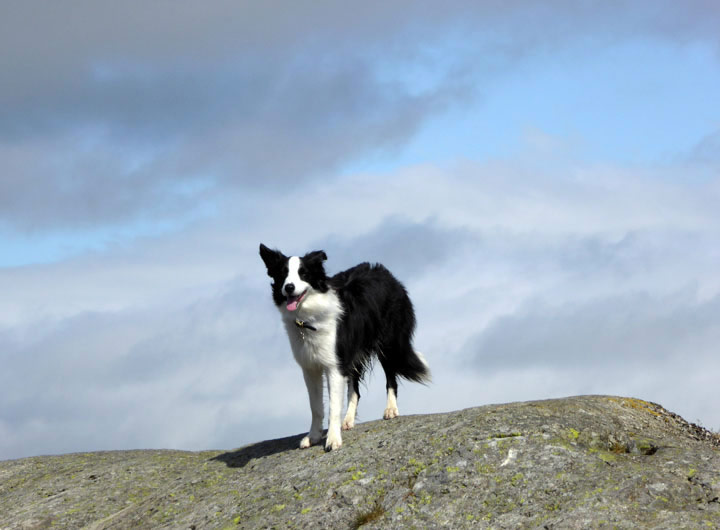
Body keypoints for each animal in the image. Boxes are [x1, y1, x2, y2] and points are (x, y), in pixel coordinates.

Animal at [258, 243, 428, 450]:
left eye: (303, 273)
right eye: (283, 274)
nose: (289, 287)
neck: (308, 319)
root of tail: (386, 273)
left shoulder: (334, 365)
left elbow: (333, 405)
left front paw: (332, 440)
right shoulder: (310, 367)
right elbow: (316, 407)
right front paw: (313, 436)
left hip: (387, 344)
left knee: (391, 378)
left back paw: (390, 409)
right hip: (353, 353)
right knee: (355, 390)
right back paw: (348, 420)